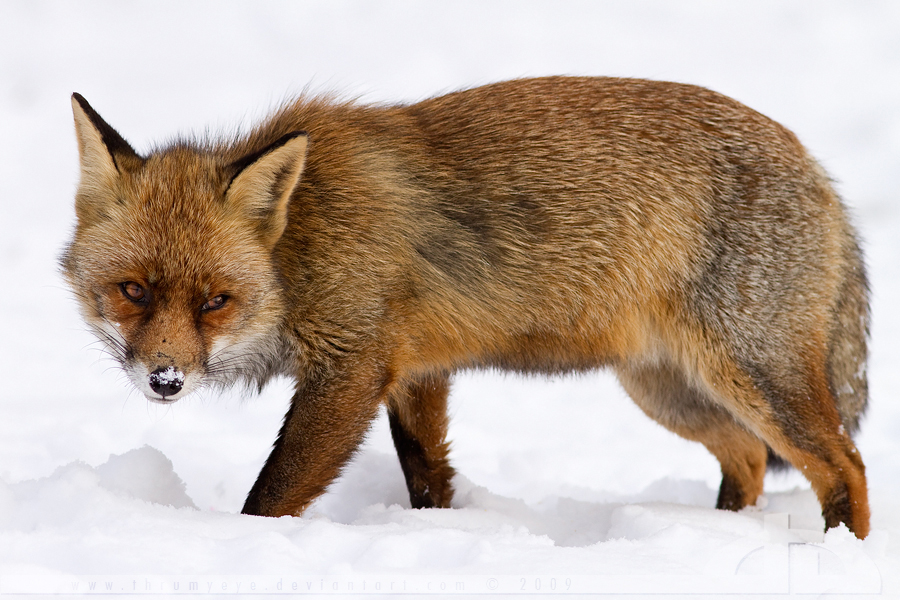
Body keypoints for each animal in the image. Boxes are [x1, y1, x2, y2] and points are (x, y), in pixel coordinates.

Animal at [61, 76, 870, 538]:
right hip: (668, 389)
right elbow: (430, 479)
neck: (303, 243)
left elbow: (273, 494)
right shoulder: (416, 370)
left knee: (845, 465)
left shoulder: (351, 368)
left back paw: (841, 553)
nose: (165, 380)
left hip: (751, 377)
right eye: (134, 290)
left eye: (215, 302)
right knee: (748, 458)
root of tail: (817, 167)